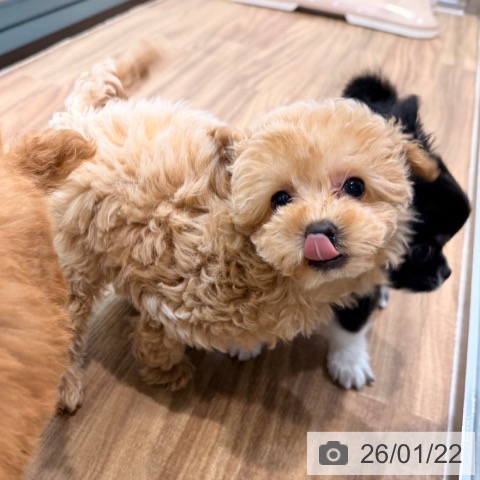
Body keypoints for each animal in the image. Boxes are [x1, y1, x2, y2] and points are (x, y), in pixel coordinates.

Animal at [45, 51, 437, 412]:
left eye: (355, 186)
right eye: (280, 199)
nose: (320, 230)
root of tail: (81, 120)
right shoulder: (174, 292)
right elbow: (156, 332)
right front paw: (166, 371)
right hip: (73, 260)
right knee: (66, 319)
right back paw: (66, 386)